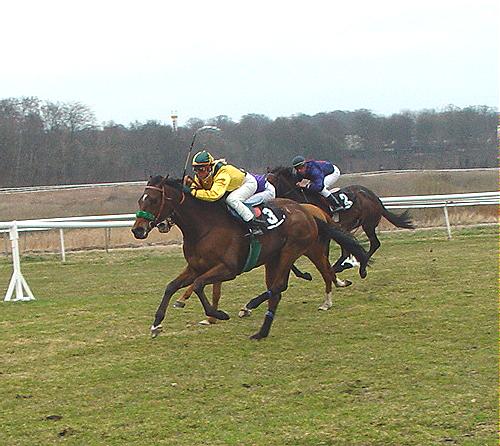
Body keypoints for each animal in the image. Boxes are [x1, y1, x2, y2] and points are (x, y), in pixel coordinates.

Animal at [131, 175, 369, 339]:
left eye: (153, 200)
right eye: (140, 200)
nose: (137, 230)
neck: (204, 227)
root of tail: (306, 212)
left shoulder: (228, 269)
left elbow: (198, 285)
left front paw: (218, 314)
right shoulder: (195, 267)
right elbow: (171, 286)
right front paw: (156, 325)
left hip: (295, 250)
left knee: (287, 283)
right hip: (274, 258)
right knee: (280, 287)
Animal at [266, 166, 415, 273]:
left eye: (270, 182)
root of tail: (374, 197)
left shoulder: (324, 233)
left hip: (368, 224)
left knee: (373, 244)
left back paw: (359, 267)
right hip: (348, 226)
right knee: (349, 249)